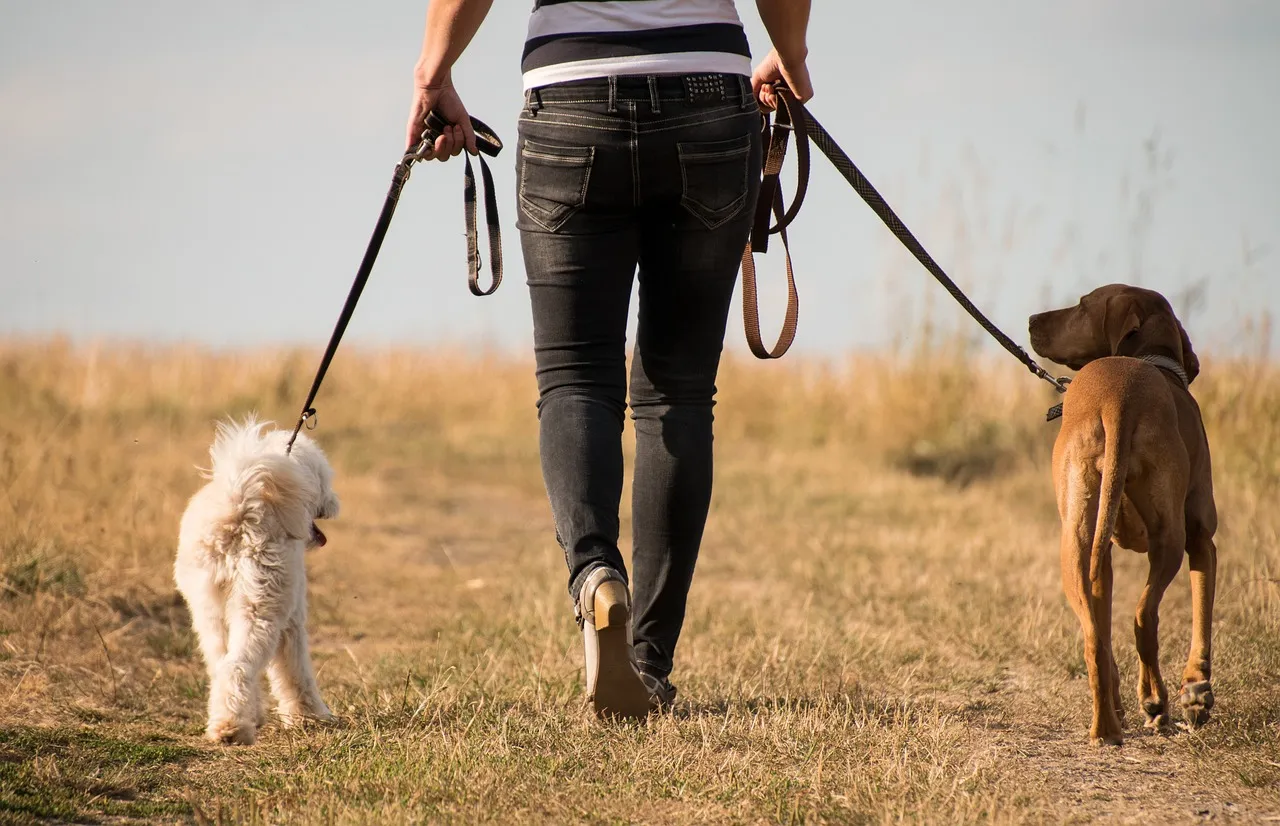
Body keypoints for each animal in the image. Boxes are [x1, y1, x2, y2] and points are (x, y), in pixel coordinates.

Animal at [177, 414, 345, 742]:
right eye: (324, 480)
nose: (335, 502)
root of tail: (239, 505)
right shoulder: (292, 621)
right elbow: (296, 672)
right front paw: (310, 716)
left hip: (208, 611)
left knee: (220, 665)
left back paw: (227, 720)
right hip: (260, 608)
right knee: (237, 666)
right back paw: (233, 730)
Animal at [1029, 281, 1218, 742]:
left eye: (1081, 305)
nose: (1031, 320)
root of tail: (1119, 398)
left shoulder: (1105, 554)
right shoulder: (1202, 537)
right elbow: (1201, 619)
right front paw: (1196, 692)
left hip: (1076, 543)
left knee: (1095, 638)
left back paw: (1106, 727)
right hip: (1170, 539)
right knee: (1143, 617)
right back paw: (1155, 703)